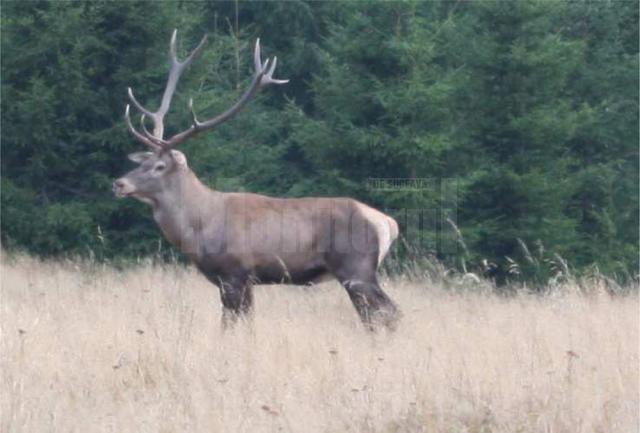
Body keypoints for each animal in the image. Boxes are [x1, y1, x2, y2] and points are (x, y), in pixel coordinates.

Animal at [111, 29, 400, 328]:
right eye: (142, 162)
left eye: (159, 166)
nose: (119, 183)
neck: (199, 227)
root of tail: (388, 223)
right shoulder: (243, 280)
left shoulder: (235, 272)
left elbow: (230, 325)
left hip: (356, 267)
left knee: (388, 312)